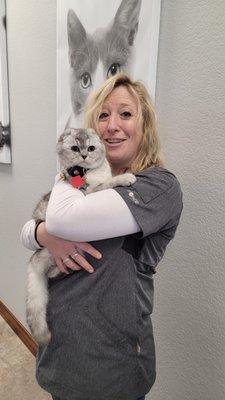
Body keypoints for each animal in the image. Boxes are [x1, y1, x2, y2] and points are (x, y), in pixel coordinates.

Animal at [26, 126, 135, 346]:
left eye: (91, 148)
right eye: (75, 148)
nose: (84, 155)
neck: (89, 174)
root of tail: (34, 259)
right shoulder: (88, 195)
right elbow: (107, 183)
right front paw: (125, 177)